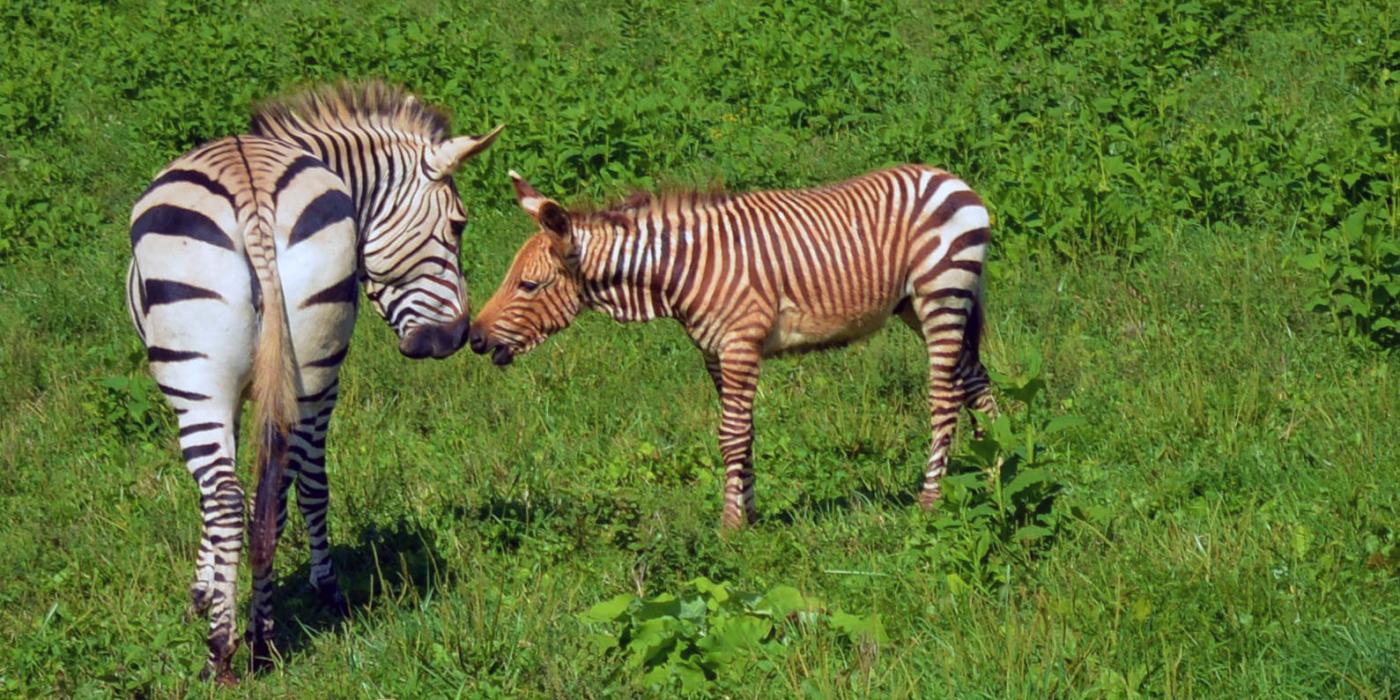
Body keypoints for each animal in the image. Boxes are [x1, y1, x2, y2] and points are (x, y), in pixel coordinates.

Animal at [124, 83, 498, 683]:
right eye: (459, 224)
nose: (455, 338)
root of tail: (253, 200)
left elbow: (217, 496)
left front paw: (205, 592)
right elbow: (298, 485)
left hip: (197, 377)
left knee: (228, 496)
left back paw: (223, 652)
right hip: (315, 366)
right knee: (274, 492)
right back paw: (265, 638)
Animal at [470, 168, 996, 529]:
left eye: (528, 285)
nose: (473, 338)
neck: (678, 269)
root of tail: (949, 178)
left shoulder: (740, 344)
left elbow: (731, 434)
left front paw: (730, 525)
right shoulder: (714, 353)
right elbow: (744, 432)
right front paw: (749, 511)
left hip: (941, 293)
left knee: (946, 396)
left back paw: (930, 501)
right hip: (918, 306)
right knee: (977, 382)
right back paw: (998, 467)